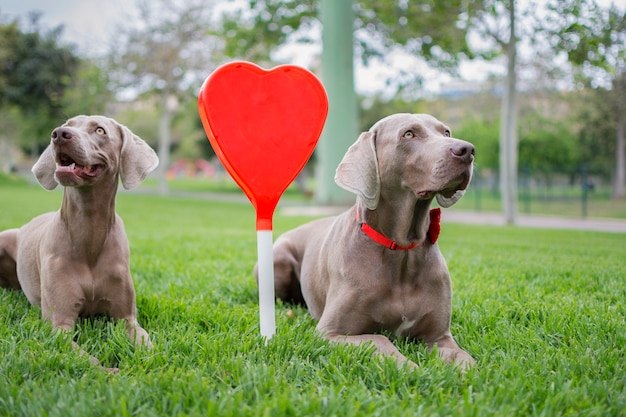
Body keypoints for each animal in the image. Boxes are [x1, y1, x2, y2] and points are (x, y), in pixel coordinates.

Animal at [0, 113, 158, 368]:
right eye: (68, 125)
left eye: (100, 130)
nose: (59, 134)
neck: (88, 230)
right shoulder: (59, 324)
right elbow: (87, 361)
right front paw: (110, 371)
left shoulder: (127, 318)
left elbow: (147, 345)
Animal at [262, 112, 472, 368]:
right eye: (408, 134)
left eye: (446, 132)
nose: (467, 149)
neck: (403, 251)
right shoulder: (328, 333)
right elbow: (379, 339)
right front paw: (412, 368)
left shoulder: (439, 336)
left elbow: (464, 359)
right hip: (278, 260)